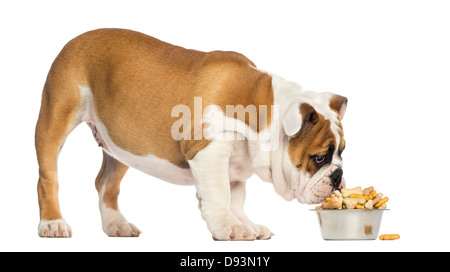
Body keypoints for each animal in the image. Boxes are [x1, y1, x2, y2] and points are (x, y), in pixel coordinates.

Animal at [36, 28, 348, 240]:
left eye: (342, 152)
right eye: (319, 158)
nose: (338, 176)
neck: (261, 110)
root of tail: (74, 39)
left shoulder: (236, 166)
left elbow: (237, 198)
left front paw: (245, 224)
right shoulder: (210, 151)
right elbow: (221, 195)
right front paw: (229, 227)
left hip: (119, 144)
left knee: (106, 183)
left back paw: (116, 225)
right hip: (56, 118)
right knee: (48, 178)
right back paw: (53, 223)